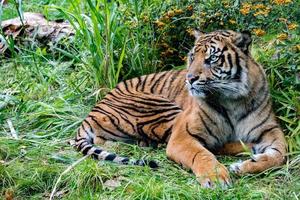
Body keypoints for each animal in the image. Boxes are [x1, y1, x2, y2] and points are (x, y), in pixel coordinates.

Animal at [72, 29, 286, 188]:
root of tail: (90, 114)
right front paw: (216, 177)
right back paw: (248, 147)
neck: (232, 100)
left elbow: (280, 154)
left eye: (211, 59)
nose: (189, 79)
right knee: (212, 145)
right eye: (192, 57)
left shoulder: (270, 129)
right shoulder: (182, 135)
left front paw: (246, 166)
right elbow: (202, 153)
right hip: (162, 109)